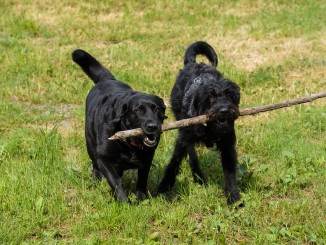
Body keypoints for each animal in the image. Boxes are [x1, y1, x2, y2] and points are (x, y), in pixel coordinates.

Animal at [72, 49, 167, 203]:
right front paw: (124, 202)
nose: (153, 126)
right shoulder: (104, 158)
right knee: (96, 167)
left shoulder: (147, 158)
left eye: (157, 109)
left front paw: (142, 198)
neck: (129, 143)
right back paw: (96, 180)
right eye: (138, 111)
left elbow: (142, 180)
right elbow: (116, 181)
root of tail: (107, 79)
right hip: (90, 145)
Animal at [158, 40, 242, 205]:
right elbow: (174, 161)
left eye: (230, 95)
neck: (210, 128)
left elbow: (230, 173)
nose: (224, 111)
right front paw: (164, 186)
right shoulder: (183, 138)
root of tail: (193, 63)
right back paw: (198, 175)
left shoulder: (227, 144)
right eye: (210, 98)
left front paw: (234, 198)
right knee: (192, 154)